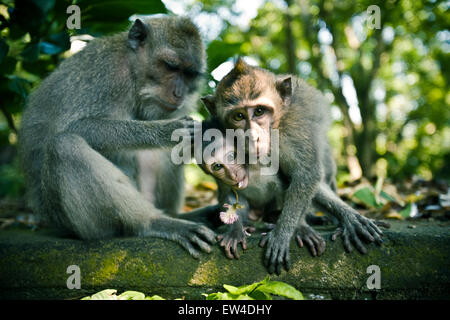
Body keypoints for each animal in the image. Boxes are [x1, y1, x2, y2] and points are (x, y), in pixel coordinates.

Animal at [19, 16, 218, 258]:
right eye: (171, 66)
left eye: (189, 74)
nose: (179, 94)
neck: (133, 73)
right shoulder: (107, 77)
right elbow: (75, 126)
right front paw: (169, 131)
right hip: (68, 221)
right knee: (64, 146)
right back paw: (154, 222)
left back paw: (178, 215)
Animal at [200, 58, 390, 274]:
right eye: (238, 116)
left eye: (259, 111)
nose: (253, 137)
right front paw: (235, 229)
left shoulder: (294, 131)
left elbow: (306, 175)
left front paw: (285, 232)